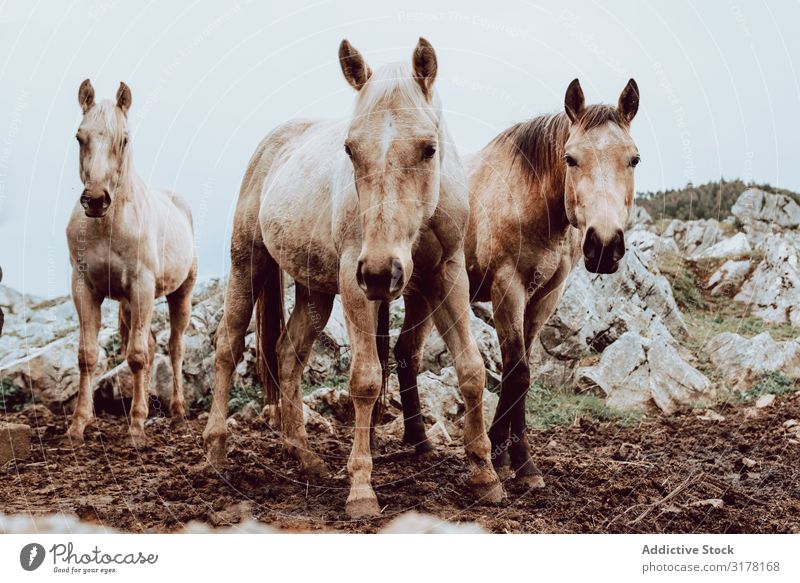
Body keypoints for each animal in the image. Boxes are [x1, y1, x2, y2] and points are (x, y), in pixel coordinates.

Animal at [65, 80, 197, 448]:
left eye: (124, 139)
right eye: (79, 137)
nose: (96, 200)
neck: (108, 226)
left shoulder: (142, 285)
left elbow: (137, 356)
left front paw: (136, 428)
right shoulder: (84, 287)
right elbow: (87, 355)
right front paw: (78, 425)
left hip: (179, 295)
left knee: (174, 347)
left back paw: (176, 410)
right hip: (127, 303)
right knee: (151, 346)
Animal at [200, 38, 500, 516]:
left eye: (429, 148)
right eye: (350, 149)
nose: (380, 271)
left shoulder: (447, 274)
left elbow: (471, 370)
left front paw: (486, 476)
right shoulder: (354, 282)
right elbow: (366, 380)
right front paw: (361, 489)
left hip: (314, 294)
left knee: (288, 354)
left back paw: (303, 455)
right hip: (248, 264)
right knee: (227, 346)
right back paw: (215, 453)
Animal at [396, 77, 640, 486]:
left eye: (634, 158)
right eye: (570, 158)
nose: (605, 245)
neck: (530, 200)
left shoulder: (545, 296)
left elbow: (519, 373)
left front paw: (509, 455)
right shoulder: (507, 288)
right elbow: (518, 372)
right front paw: (515, 461)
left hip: (427, 296)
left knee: (406, 354)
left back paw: (421, 442)